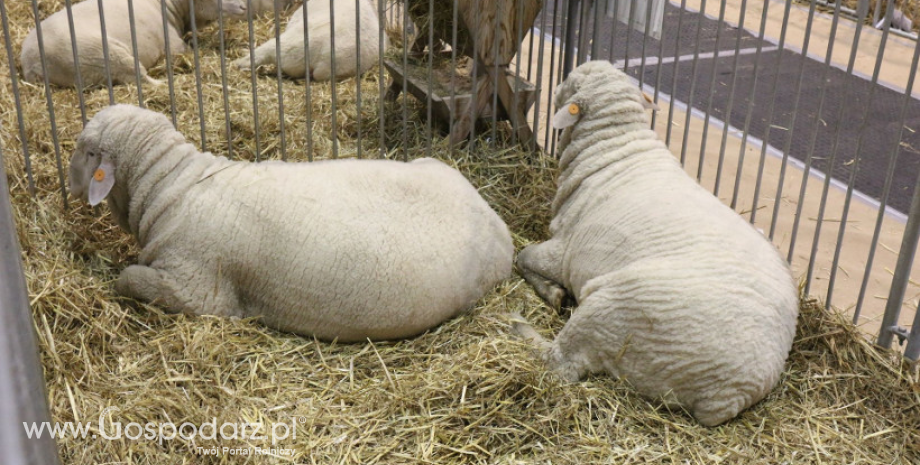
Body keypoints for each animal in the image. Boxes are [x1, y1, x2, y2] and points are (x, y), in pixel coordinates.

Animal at [20, 0, 246, 87]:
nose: (244, 6)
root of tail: (32, 64)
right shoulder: (173, 44)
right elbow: (185, 51)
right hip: (102, 56)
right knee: (138, 77)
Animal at [70, 104, 516, 340]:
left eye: (84, 150)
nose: (69, 184)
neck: (172, 184)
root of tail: (496, 220)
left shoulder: (196, 291)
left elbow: (128, 278)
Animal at [510, 61, 796, 428]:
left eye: (570, 81)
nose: (556, 85)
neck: (615, 146)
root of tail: (729, 394)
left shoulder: (565, 251)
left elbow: (522, 255)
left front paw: (553, 293)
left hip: (613, 310)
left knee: (559, 363)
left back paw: (518, 325)